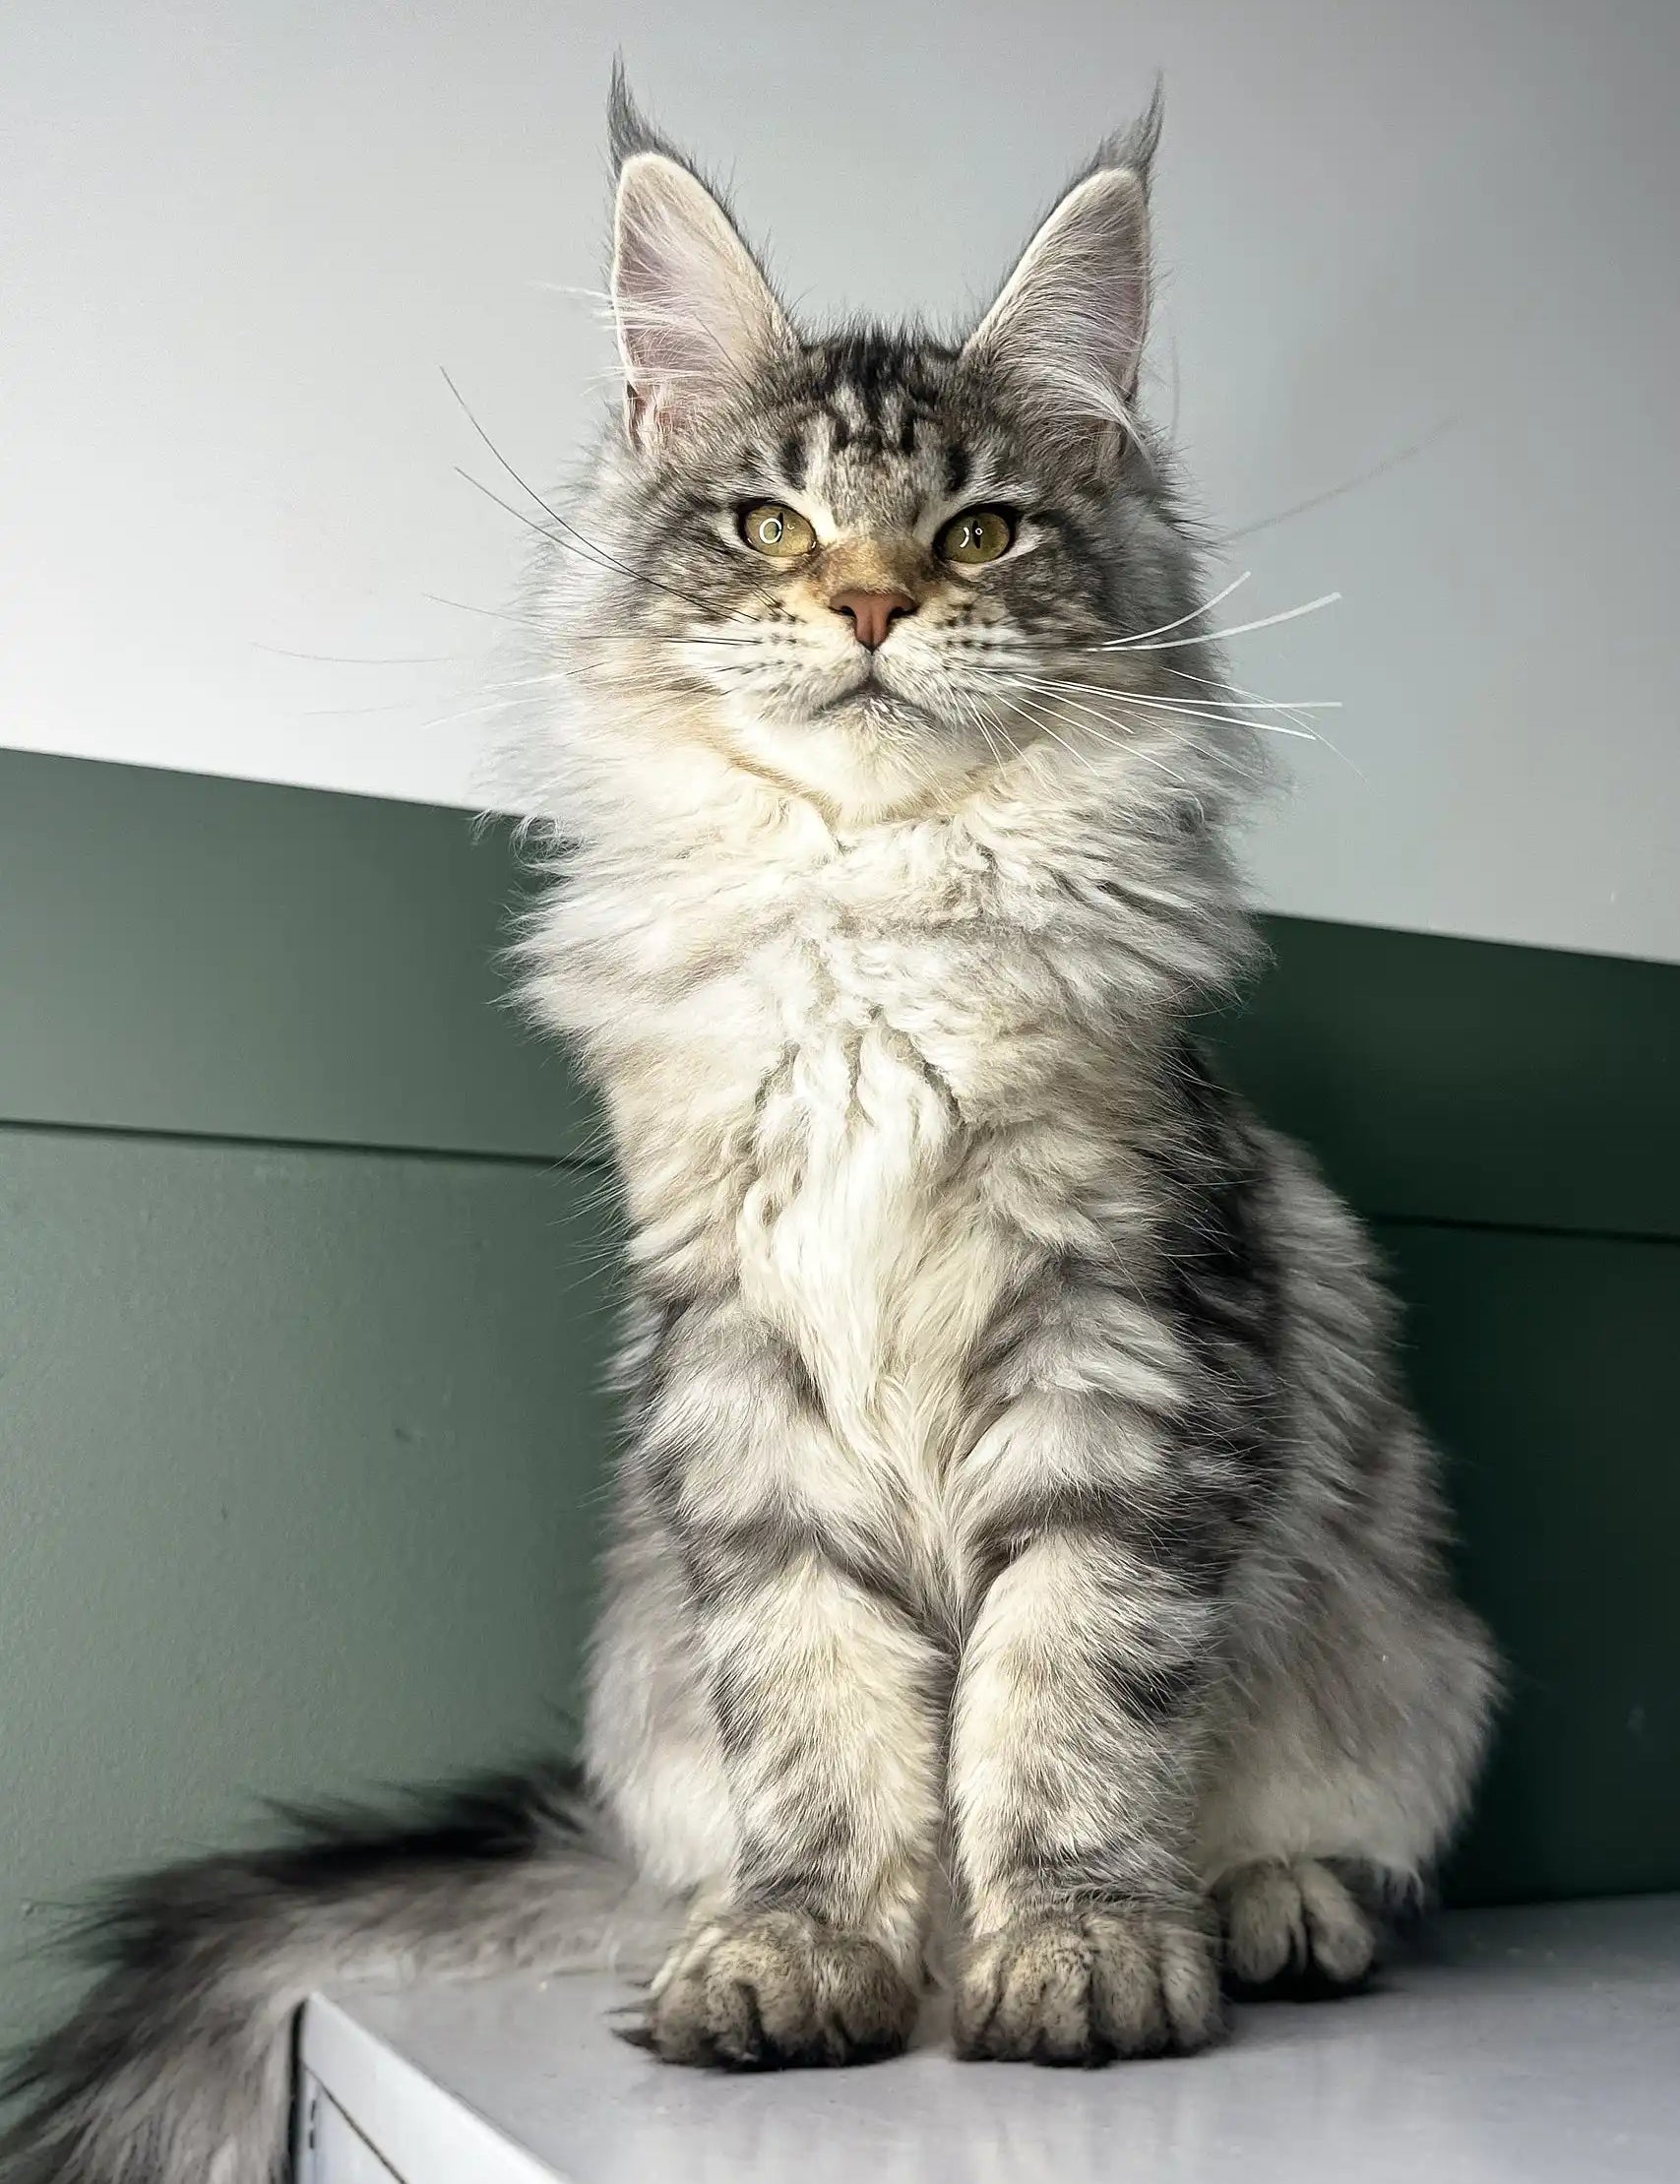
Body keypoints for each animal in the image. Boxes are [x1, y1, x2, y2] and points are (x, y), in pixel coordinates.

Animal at [0, 72, 1494, 2184]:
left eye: (976, 529)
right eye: (771, 522)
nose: (868, 601)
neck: (862, 927)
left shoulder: (1120, 1356)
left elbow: (1063, 1699)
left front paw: (1080, 1951)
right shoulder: (741, 1394)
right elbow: (826, 1728)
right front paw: (804, 1958)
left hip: (1413, 1658)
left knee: (1339, 1841)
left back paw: (1270, 1911)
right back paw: (710, 1929)